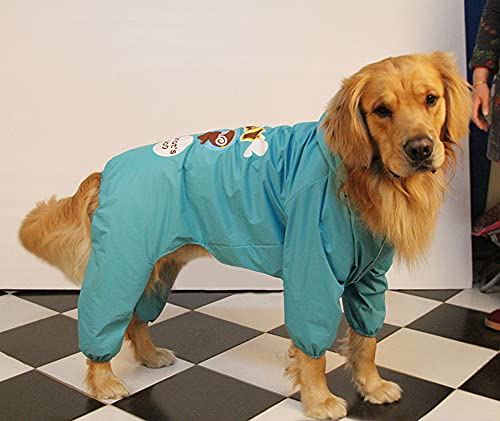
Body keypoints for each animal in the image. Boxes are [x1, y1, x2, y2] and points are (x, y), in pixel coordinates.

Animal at [19, 51, 470, 416]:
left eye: (431, 99)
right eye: (381, 110)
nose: (420, 149)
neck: (364, 178)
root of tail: (107, 170)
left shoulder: (371, 278)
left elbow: (367, 338)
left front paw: (372, 386)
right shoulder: (313, 273)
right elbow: (315, 350)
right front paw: (319, 400)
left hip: (155, 269)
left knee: (136, 319)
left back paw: (149, 356)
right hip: (121, 263)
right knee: (104, 320)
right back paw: (104, 382)